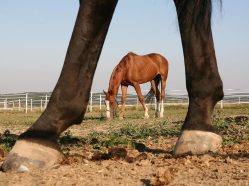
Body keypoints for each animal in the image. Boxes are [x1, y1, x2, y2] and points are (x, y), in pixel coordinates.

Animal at [1, 0, 224, 172]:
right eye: (106, 104)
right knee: (157, 93)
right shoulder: (125, 85)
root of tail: (162, 57)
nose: (108, 117)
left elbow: (140, 98)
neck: (125, 67)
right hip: (154, 79)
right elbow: (125, 99)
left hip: (163, 76)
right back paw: (163, 115)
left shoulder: (135, 83)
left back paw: (163, 115)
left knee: (162, 95)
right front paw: (124, 116)